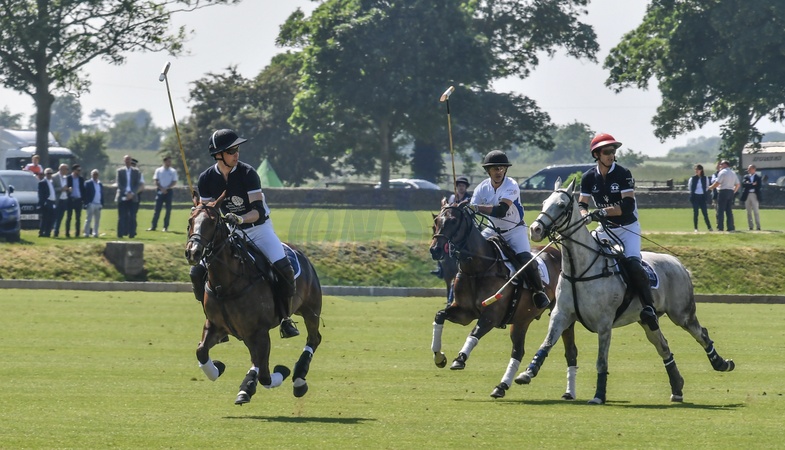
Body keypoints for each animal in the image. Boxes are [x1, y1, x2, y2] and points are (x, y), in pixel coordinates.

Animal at [184, 193, 323, 404]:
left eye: (213, 221)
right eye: (190, 220)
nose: (193, 252)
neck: (226, 284)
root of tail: (299, 251)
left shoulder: (258, 331)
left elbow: (262, 370)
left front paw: (249, 387)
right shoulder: (215, 325)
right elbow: (201, 351)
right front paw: (217, 368)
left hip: (311, 309)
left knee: (314, 338)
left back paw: (299, 378)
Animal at [429, 204, 578, 399]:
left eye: (453, 221)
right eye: (436, 221)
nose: (435, 250)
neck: (478, 267)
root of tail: (559, 252)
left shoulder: (491, 315)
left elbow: (475, 332)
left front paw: (460, 359)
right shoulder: (464, 312)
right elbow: (440, 316)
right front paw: (439, 357)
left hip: (563, 313)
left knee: (570, 351)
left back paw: (569, 392)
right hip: (522, 320)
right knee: (518, 351)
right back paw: (501, 387)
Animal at [516, 181, 734, 404]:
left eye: (561, 205)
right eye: (544, 202)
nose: (535, 229)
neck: (580, 270)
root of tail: (678, 263)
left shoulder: (604, 323)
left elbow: (601, 361)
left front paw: (599, 395)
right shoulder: (561, 314)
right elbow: (546, 343)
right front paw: (527, 373)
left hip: (681, 314)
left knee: (701, 333)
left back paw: (721, 363)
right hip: (646, 320)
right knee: (663, 346)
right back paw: (677, 388)